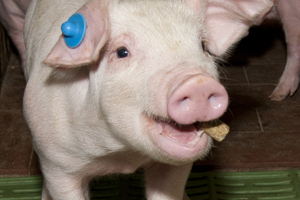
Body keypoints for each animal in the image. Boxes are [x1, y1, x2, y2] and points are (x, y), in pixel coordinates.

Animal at [21, 0, 274, 199]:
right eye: (121, 52)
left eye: (203, 46)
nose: (197, 83)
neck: (123, 155)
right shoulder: (57, 164)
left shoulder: (177, 165)